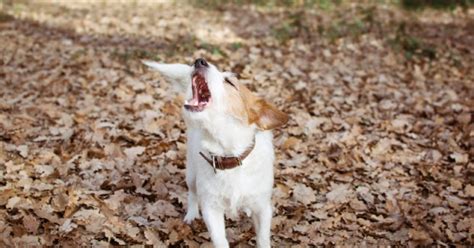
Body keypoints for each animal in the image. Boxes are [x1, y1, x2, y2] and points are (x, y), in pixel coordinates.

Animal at [143, 58, 286, 248]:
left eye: (229, 82)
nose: (199, 61)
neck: (229, 155)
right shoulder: (211, 209)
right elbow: (220, 240)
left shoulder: (263, 208)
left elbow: (262, 239)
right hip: (191, 175)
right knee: (192, 194)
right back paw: (191, 214)